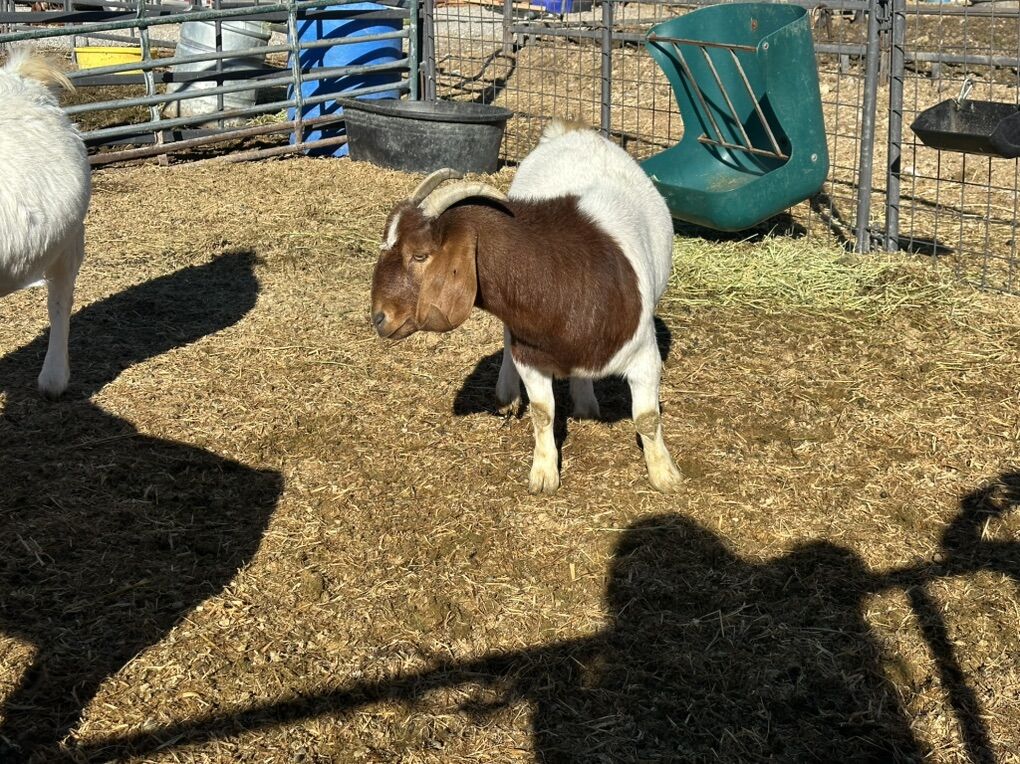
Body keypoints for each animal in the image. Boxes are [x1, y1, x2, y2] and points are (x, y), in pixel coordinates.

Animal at [370, 120, 682, 493]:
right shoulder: (530, 354)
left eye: (420, 255)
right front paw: (544, 474)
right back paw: (508, 396)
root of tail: (570, 130)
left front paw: (665, 475)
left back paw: (586, 404)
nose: (379, 317)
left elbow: (647, 418)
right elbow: (542, 412)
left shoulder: (644, 354)